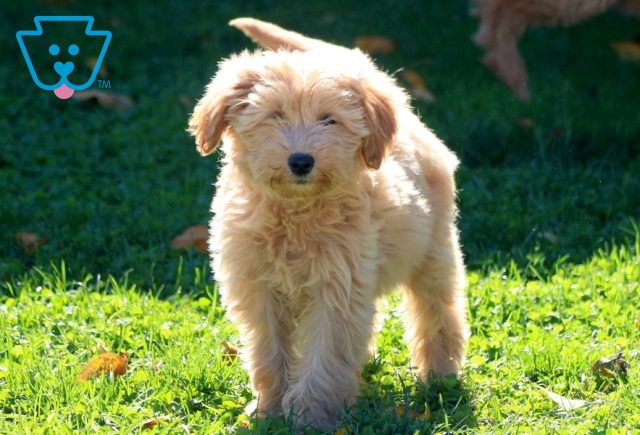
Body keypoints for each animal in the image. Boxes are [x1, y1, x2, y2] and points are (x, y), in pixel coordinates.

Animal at [188, 17, 468, 432]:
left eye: (329, 119)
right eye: (275, 115)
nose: (301, 161)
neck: (295, 213)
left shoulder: (336, 288)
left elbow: (324, 355)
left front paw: (310, 415)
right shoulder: (258, 287)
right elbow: (269, 351)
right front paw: (269, 408)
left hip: (434, 249)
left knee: (437, 311)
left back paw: (440, 376)